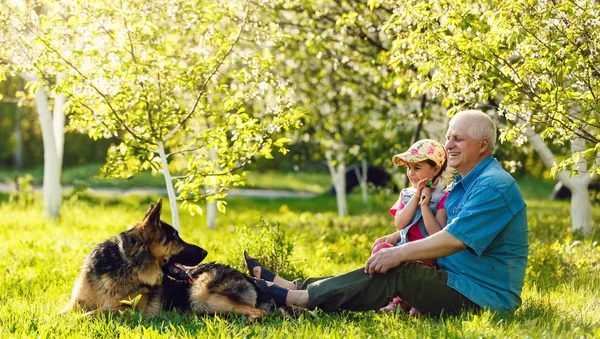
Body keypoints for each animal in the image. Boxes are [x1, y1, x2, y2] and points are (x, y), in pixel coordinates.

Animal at [61, 199, 206, 318]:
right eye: (176, 237)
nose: (205, 252)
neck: (129, 266)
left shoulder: (127, 309)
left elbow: (91, 313)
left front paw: (74, 319)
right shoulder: (77, 303)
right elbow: (61, 313)